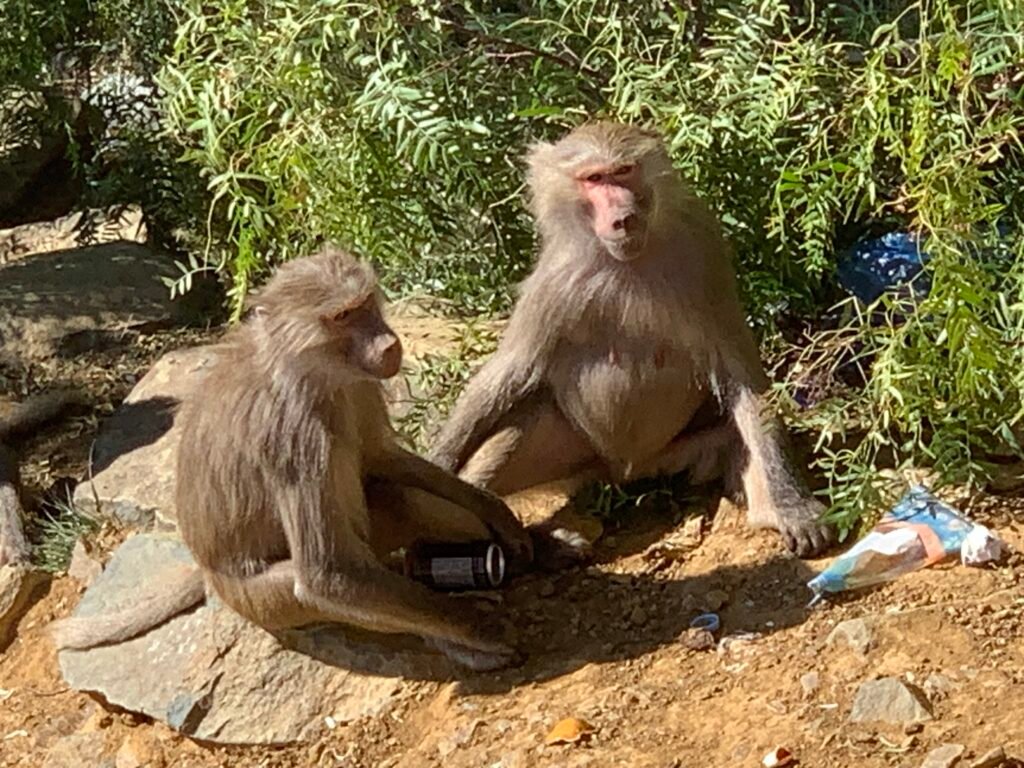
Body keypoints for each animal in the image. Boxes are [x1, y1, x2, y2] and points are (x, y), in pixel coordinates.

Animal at [51, 247, 539, 671]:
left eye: (365, 304)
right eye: (342, 317)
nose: (389, 346)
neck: (308, 369)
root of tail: (208, 571)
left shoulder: (358, 386)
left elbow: (380, 457)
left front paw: (497, 514)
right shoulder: (293, 436)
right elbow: (329, 577)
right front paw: (478, 629)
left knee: (399, 499)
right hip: (263, 604)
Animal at [430, 122, 836, 558]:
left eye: (623, 171)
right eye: (594, 179)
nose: (622, 218)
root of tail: (626, 469)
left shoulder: (704, 248)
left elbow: (743, 379)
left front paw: (795, 508)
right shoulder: (554, 277)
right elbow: (511, 370)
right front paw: (437, 463)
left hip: (677, 452)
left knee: (735, 432)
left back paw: (769, 513)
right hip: (575, 449)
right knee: (516, 427)